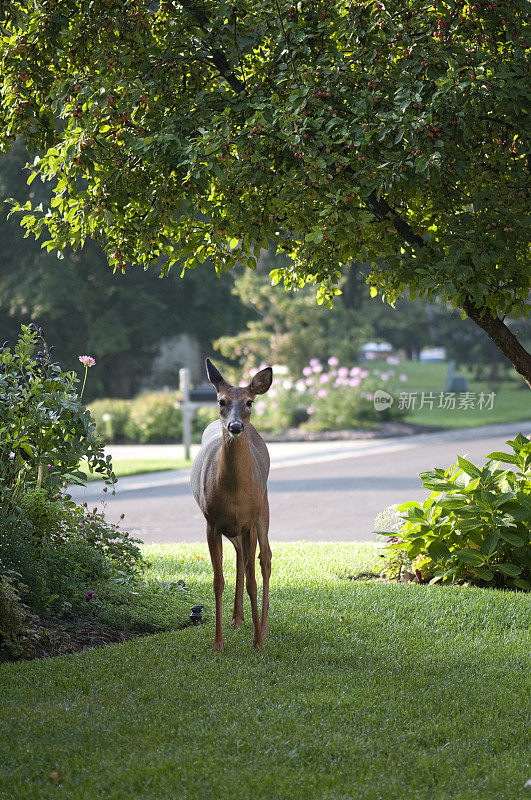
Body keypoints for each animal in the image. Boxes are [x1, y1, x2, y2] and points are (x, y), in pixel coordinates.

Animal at [191, 360, 274, 652]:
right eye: (221, 401)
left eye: (249, 402)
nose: (235, 426)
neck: (235, 493)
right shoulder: (211, 523)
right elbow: (218, 582)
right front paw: (218, 643)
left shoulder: (249, 520)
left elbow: (252, 581)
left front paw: (258, 641)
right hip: (233, 526)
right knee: (240, 555)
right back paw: (237, 618)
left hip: (263, 507)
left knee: (265, 558)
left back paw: (263, 626)